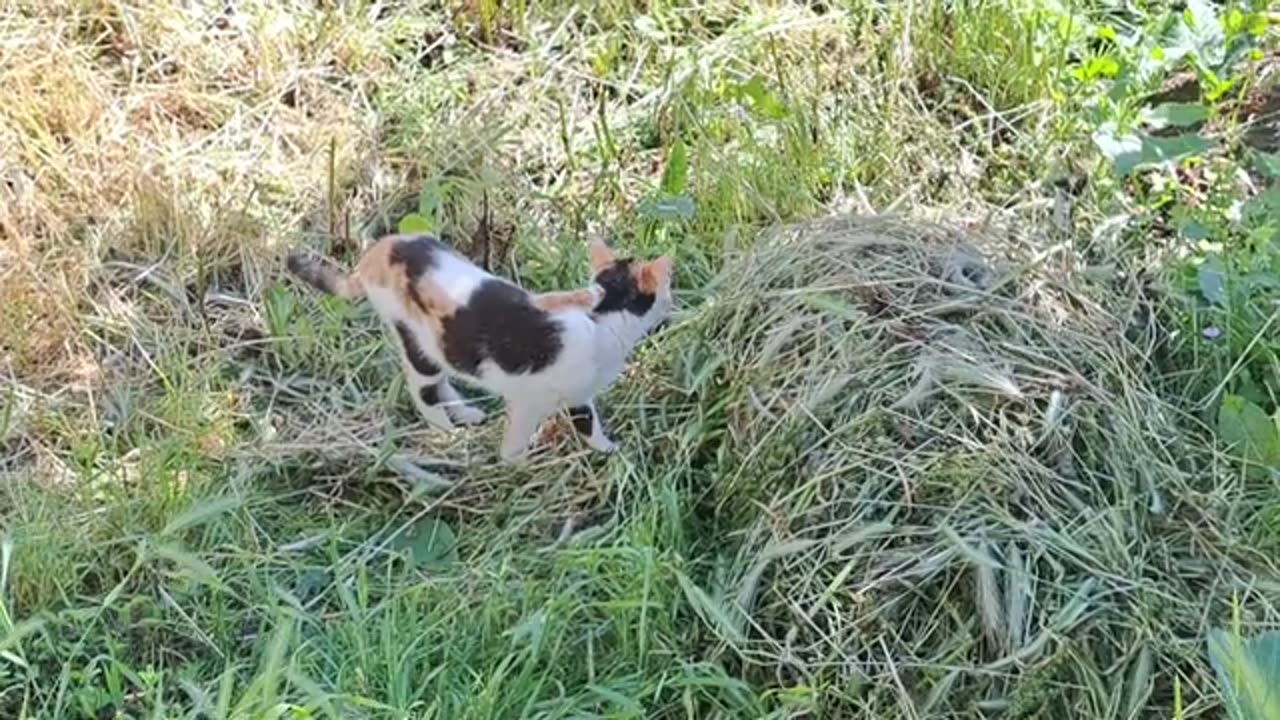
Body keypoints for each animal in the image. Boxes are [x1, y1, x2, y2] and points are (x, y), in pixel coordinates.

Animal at [285, 234, 675, 458]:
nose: (675, 297)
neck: (601, 322)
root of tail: (375, 252)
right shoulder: (529, 402)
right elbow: (519, 441)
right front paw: (516, 465)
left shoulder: (579, 394)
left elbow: (588, 423)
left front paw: (609, 450)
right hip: (418, 342)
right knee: (421, 390)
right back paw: (447, 429)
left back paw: (467, 412)